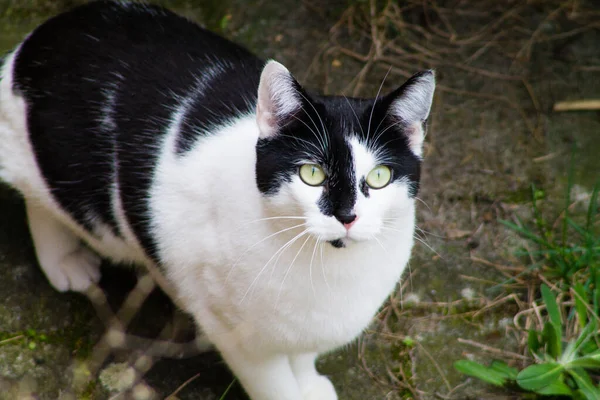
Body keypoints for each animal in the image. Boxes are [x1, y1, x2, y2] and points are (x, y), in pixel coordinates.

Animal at [0, 1, 434, 398]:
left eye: (379, 177)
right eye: (312, 174)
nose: (347, 215)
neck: (330, 266)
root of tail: (35, 40)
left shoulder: (301, 330)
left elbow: (301, 357)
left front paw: (310, 385)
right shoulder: (239, 337)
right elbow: (276, 384)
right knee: (39, 200)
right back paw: (65, 261)